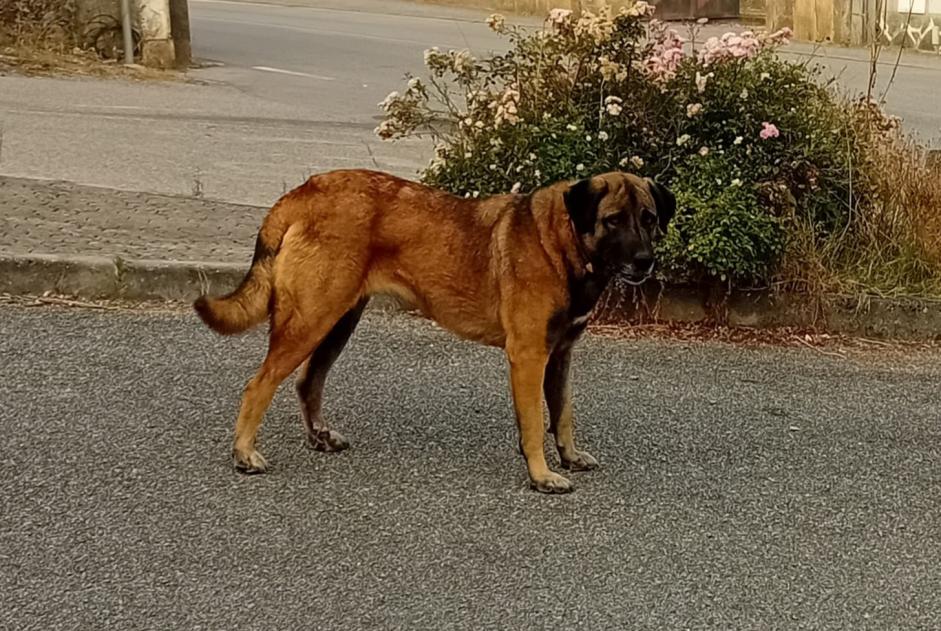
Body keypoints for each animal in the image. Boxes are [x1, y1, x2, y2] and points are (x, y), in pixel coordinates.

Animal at [195, 170, 672, 496]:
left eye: (648, 218)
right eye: (613, 221)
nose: (646, 261)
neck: (561, 240)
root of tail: (302, 193)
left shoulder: (560, 356)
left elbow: (563, 414)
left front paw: (569, 457)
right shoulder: (529, 356)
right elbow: (537, 423)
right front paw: (541, 473)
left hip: (337, 322)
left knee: (307, 381)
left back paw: (319, 437)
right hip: (311, 321)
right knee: (259, 385)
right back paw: (244, 453)